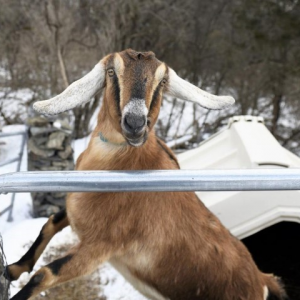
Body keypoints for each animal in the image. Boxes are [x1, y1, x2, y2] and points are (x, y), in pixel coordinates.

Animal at [6, 49, 286, 300]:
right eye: (111, 72)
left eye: (161, 81)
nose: (135, 123)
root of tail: (262, 281)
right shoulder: (77, 215)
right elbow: (51, 222)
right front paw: (12, 269)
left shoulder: (100, 247)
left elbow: (44, 275)